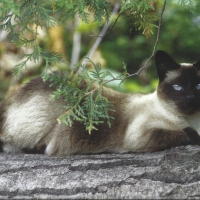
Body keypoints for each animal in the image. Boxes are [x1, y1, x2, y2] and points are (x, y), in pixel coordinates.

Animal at [0, 50, 200, 156]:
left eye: (198, 85)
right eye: (178, 87)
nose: (191, 98)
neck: (191, 119)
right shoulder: (139, 136)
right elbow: (184, 133)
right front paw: (192, 133)